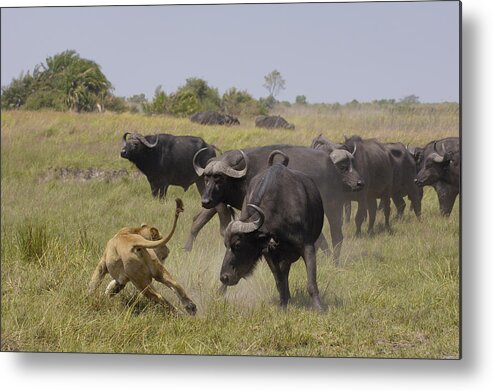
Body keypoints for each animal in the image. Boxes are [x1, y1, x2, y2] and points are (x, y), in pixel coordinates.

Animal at [186, 144, 352, 266]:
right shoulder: (220, 203)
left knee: (337, 235)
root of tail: (332, 167)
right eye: (206, 178)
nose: (205, 201)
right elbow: (199, 223)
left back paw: (335, 262)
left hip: (334, 207)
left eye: (219, 178)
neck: (244, 175)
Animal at [219, 152, 322, 310]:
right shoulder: (269, 253)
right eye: (225, 245)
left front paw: (319, 308)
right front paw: (283, 306)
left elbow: (311, 282)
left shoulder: (308, 246)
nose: (224, 277)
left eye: (237, 244)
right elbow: (279, 281)